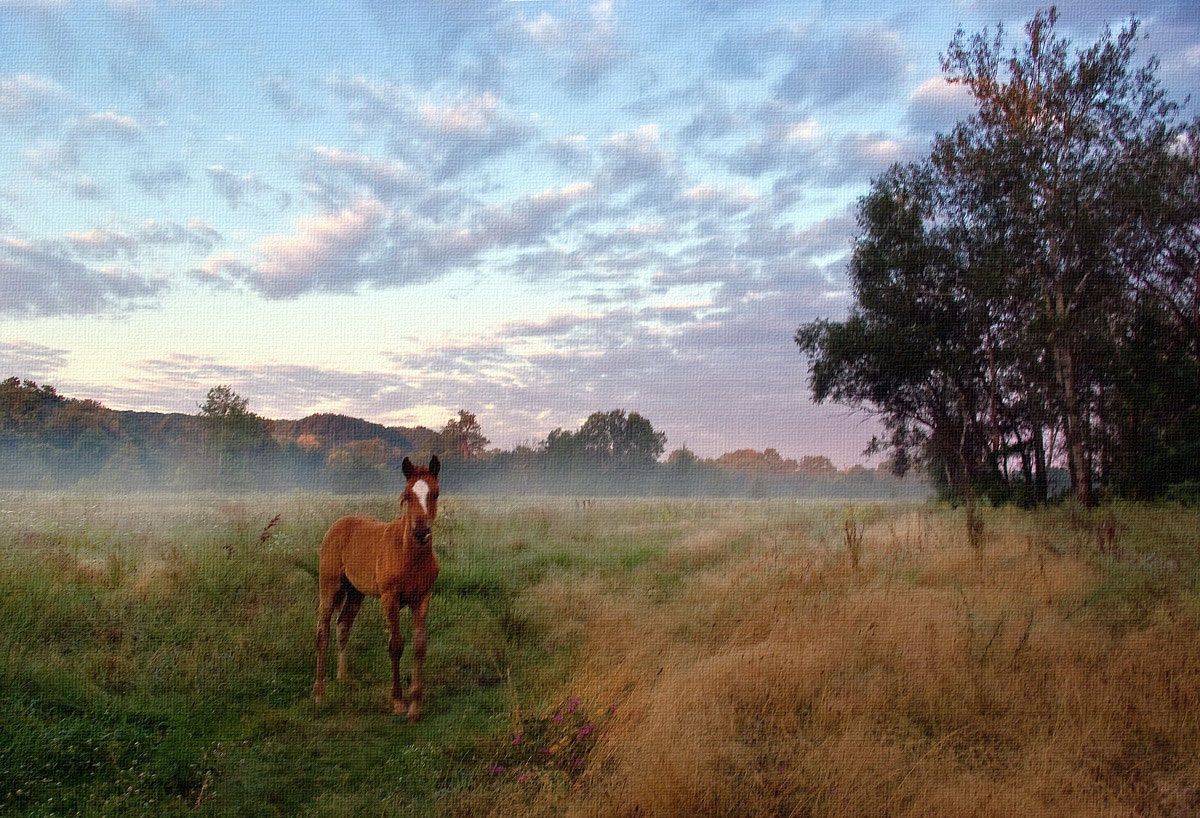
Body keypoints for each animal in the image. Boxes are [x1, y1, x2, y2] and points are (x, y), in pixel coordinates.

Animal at [312, 455, 440, 719]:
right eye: (407, 495)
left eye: (435, 494)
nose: (421, 532)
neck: (408, 555)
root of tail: (339, 523)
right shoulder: (389, 598)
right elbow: (396, 645)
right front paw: (398, 702)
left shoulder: (423, 598)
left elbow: (419, 646)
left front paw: (415, 706)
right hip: (329, 586)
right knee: (323, 631)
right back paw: (319, 695)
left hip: (355, 592)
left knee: (344, 625)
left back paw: (343, 678)